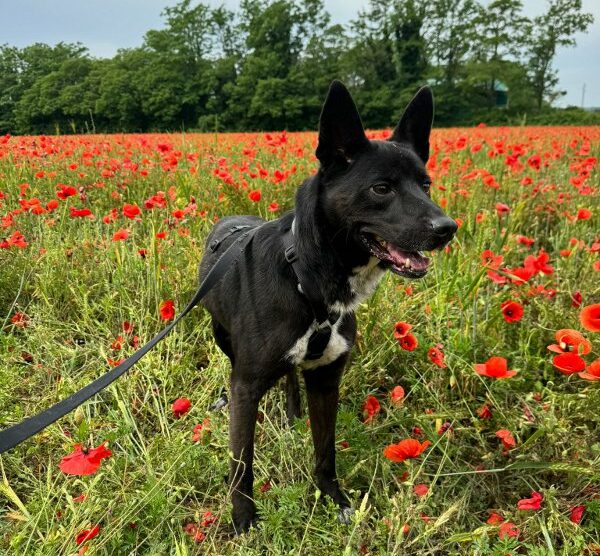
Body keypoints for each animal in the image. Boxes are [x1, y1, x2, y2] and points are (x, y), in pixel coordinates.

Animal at [197, 80, 454, 532]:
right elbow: (242, 463)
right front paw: (244, 520)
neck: (306, 277)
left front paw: (334, 499)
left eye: (426, 185)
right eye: (382, 188)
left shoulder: (326, 380)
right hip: (221, 335)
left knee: (290, 379)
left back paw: (291, 414)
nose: (448, 228)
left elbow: (325, 450)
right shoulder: (247, 385)